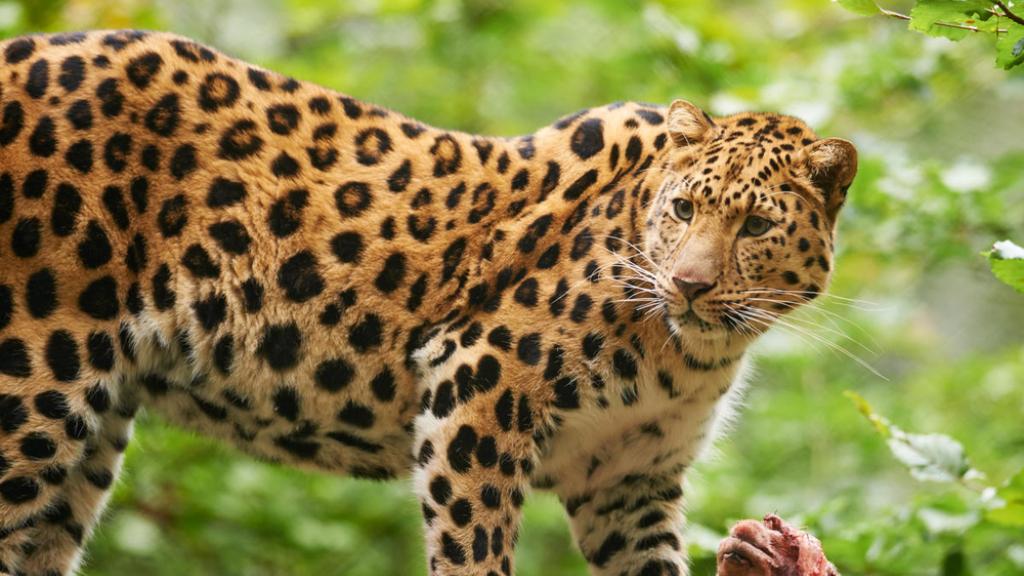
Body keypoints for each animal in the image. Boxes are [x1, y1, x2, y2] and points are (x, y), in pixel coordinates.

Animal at [0, 30, 855, 576]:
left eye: (755, 226)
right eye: (683, 210)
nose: (690, 284)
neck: (691, 353)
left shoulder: (629, 482)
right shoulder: (478, 388)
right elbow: (475, 550)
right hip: (33, 386)